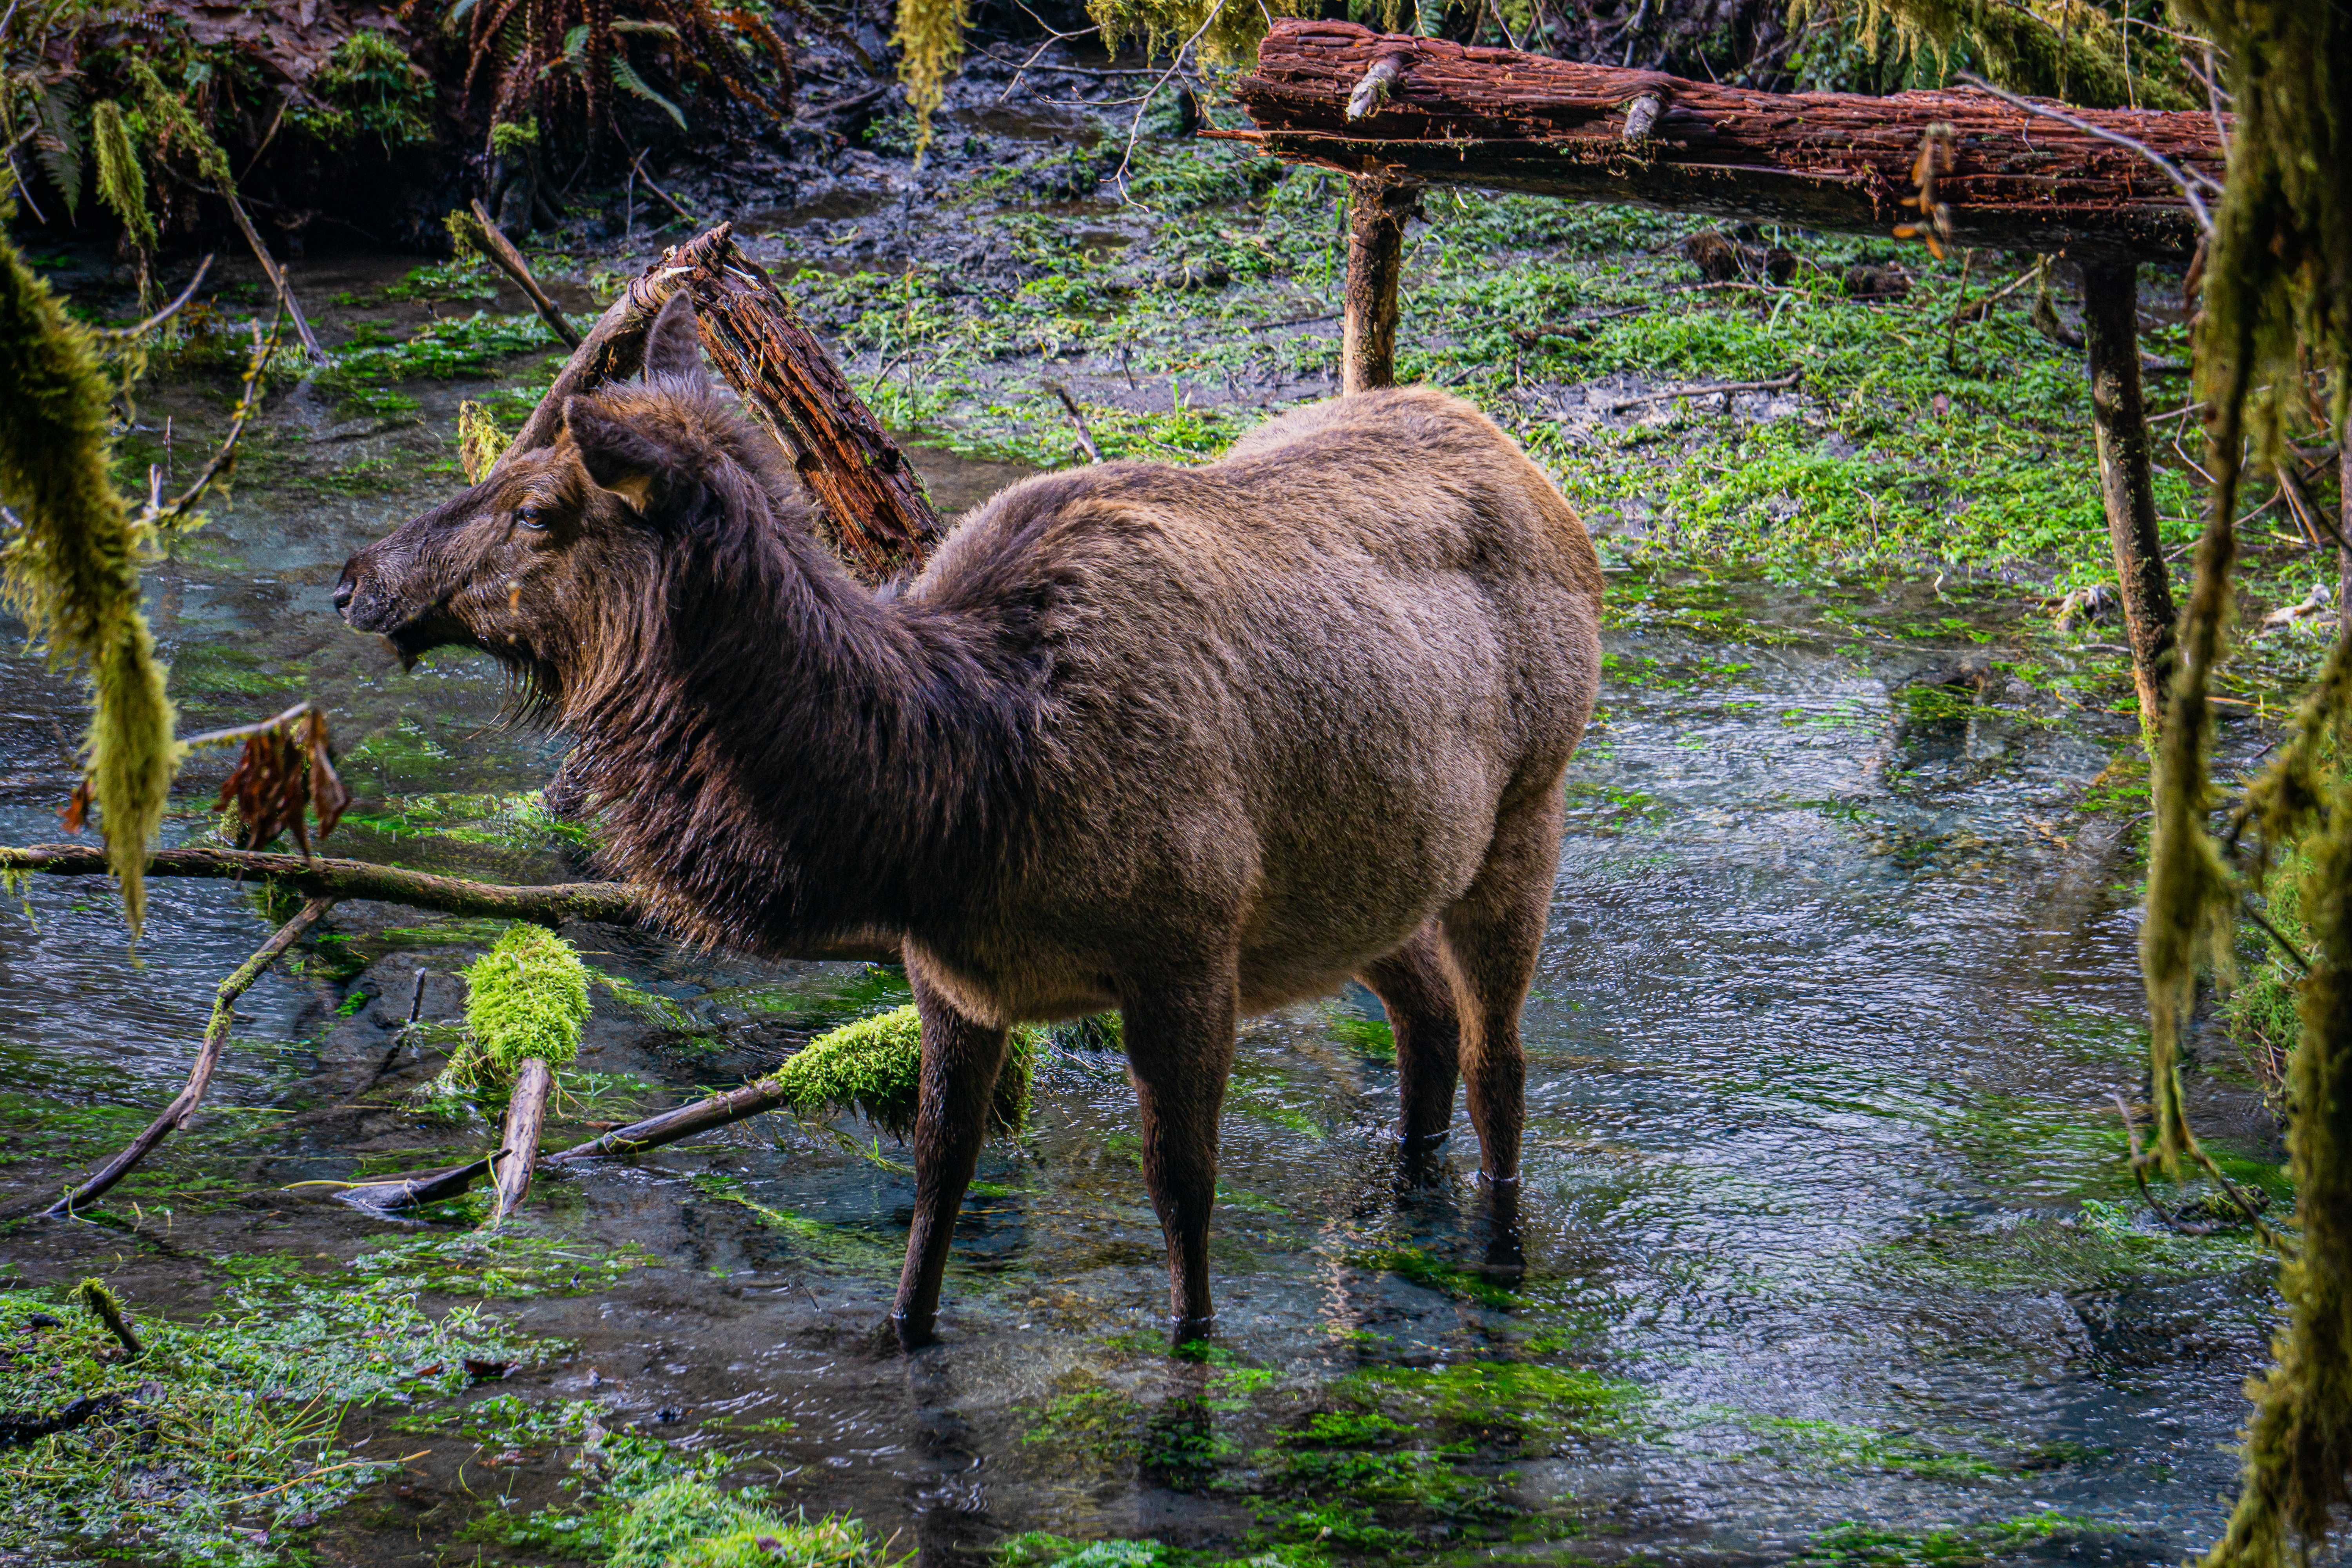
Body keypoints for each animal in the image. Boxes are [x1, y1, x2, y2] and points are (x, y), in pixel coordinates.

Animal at [335, 294, 1604, 1349]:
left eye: (537, 507)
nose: (358, 575)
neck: (960, 802)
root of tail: (1534, 471)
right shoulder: (953, 974)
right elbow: (939, 1178)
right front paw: (903, 1334)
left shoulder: (1188, 950)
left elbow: (1180, 1192)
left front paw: (1192, 1352)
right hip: (1357, 878)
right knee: (1425, 1017)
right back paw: (1406, 1205)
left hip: (1523, 811)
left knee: (1497, 1060)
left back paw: (1496, 1253)